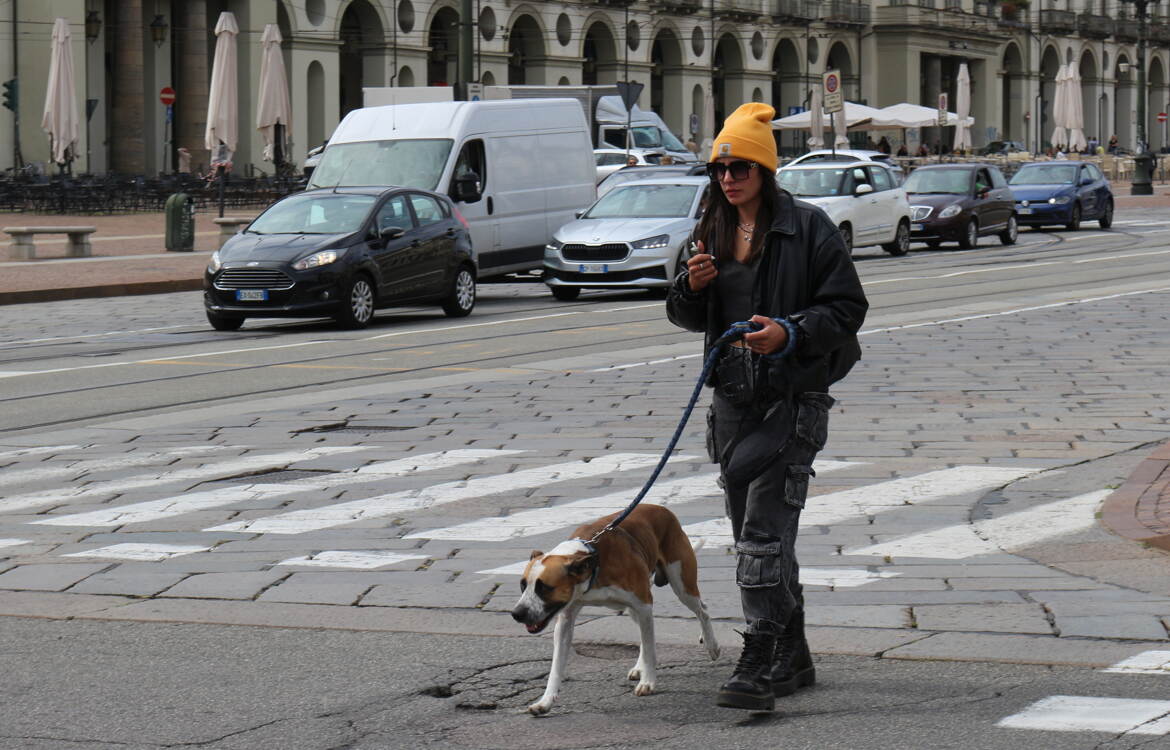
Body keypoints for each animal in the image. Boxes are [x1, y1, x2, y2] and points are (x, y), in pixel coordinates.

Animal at [514, 503, 720, 711]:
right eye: (523, 585)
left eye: (545, 588)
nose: (517, 613)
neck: (593, 564)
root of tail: (662, 509)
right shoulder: (567, 618)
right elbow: (556, 665)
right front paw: (545, 701)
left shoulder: (644, 604)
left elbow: (650, 648)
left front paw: (648, 682)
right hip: (635, 608)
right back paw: (639, 667)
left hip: (681, 585)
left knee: (702, 610)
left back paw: (711, 644)